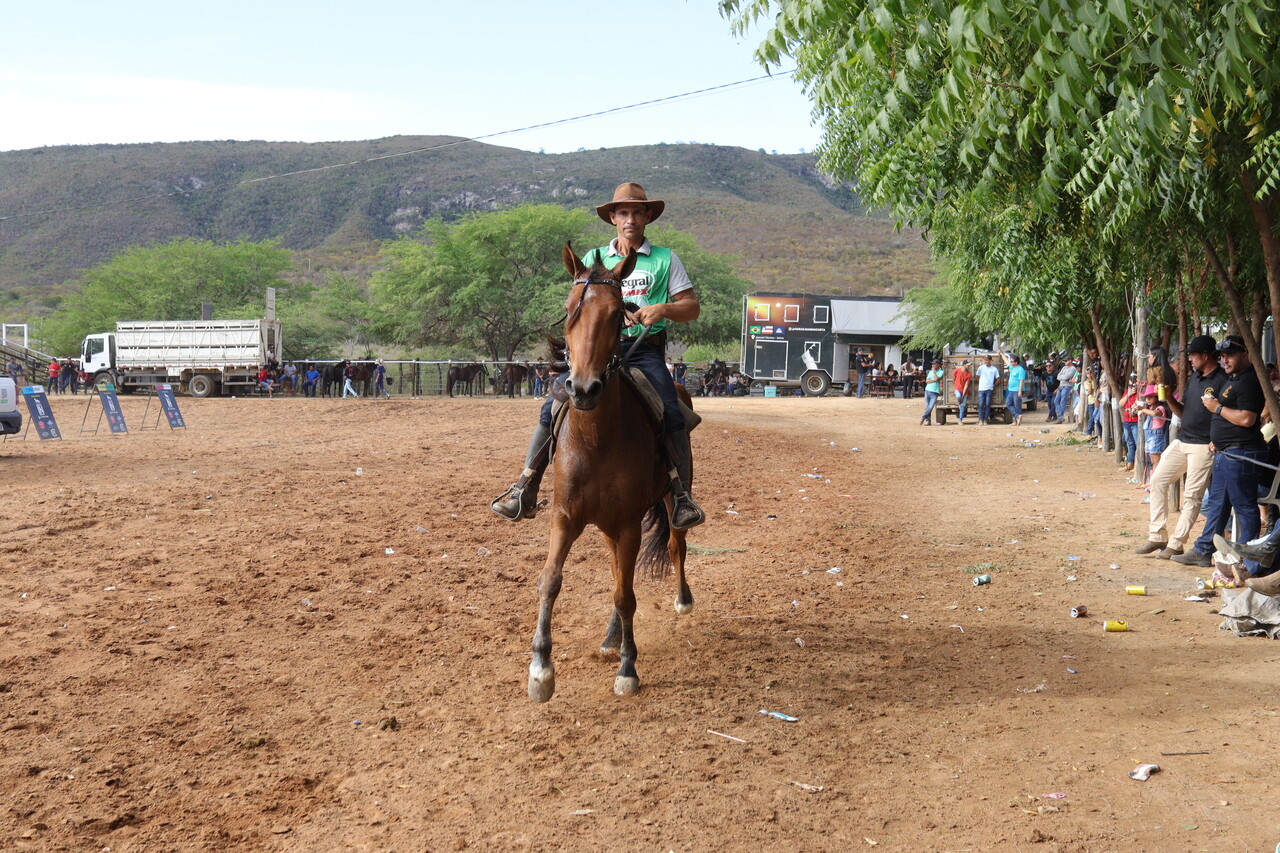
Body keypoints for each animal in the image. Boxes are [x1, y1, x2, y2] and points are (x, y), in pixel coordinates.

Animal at [527, 243, 694, 703]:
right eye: (569, 310)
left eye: (619, 313)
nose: (583, 389)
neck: (597, 438)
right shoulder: (565, 517)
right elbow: (551, 580)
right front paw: (541, 668)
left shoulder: (628, 524)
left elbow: (626, 593)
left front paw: (628, 669)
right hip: (606, 524)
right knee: (618, 570)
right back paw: (610, 637)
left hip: (669, 501)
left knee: (675, 545)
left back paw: (681, 600)